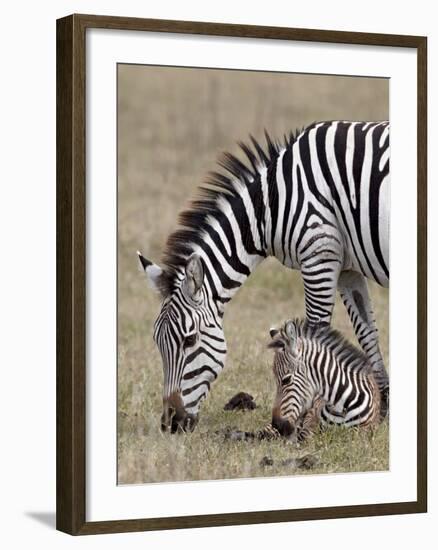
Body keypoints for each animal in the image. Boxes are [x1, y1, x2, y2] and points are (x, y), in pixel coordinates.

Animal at [139, 121, 388, 436]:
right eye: (158, 343)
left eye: (189, 339)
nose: (170, 423)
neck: (272, 205)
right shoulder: (346, 268)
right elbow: (367, 332)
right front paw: (383, 408)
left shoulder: (319, 254)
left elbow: (316, 329)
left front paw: (313, 416)